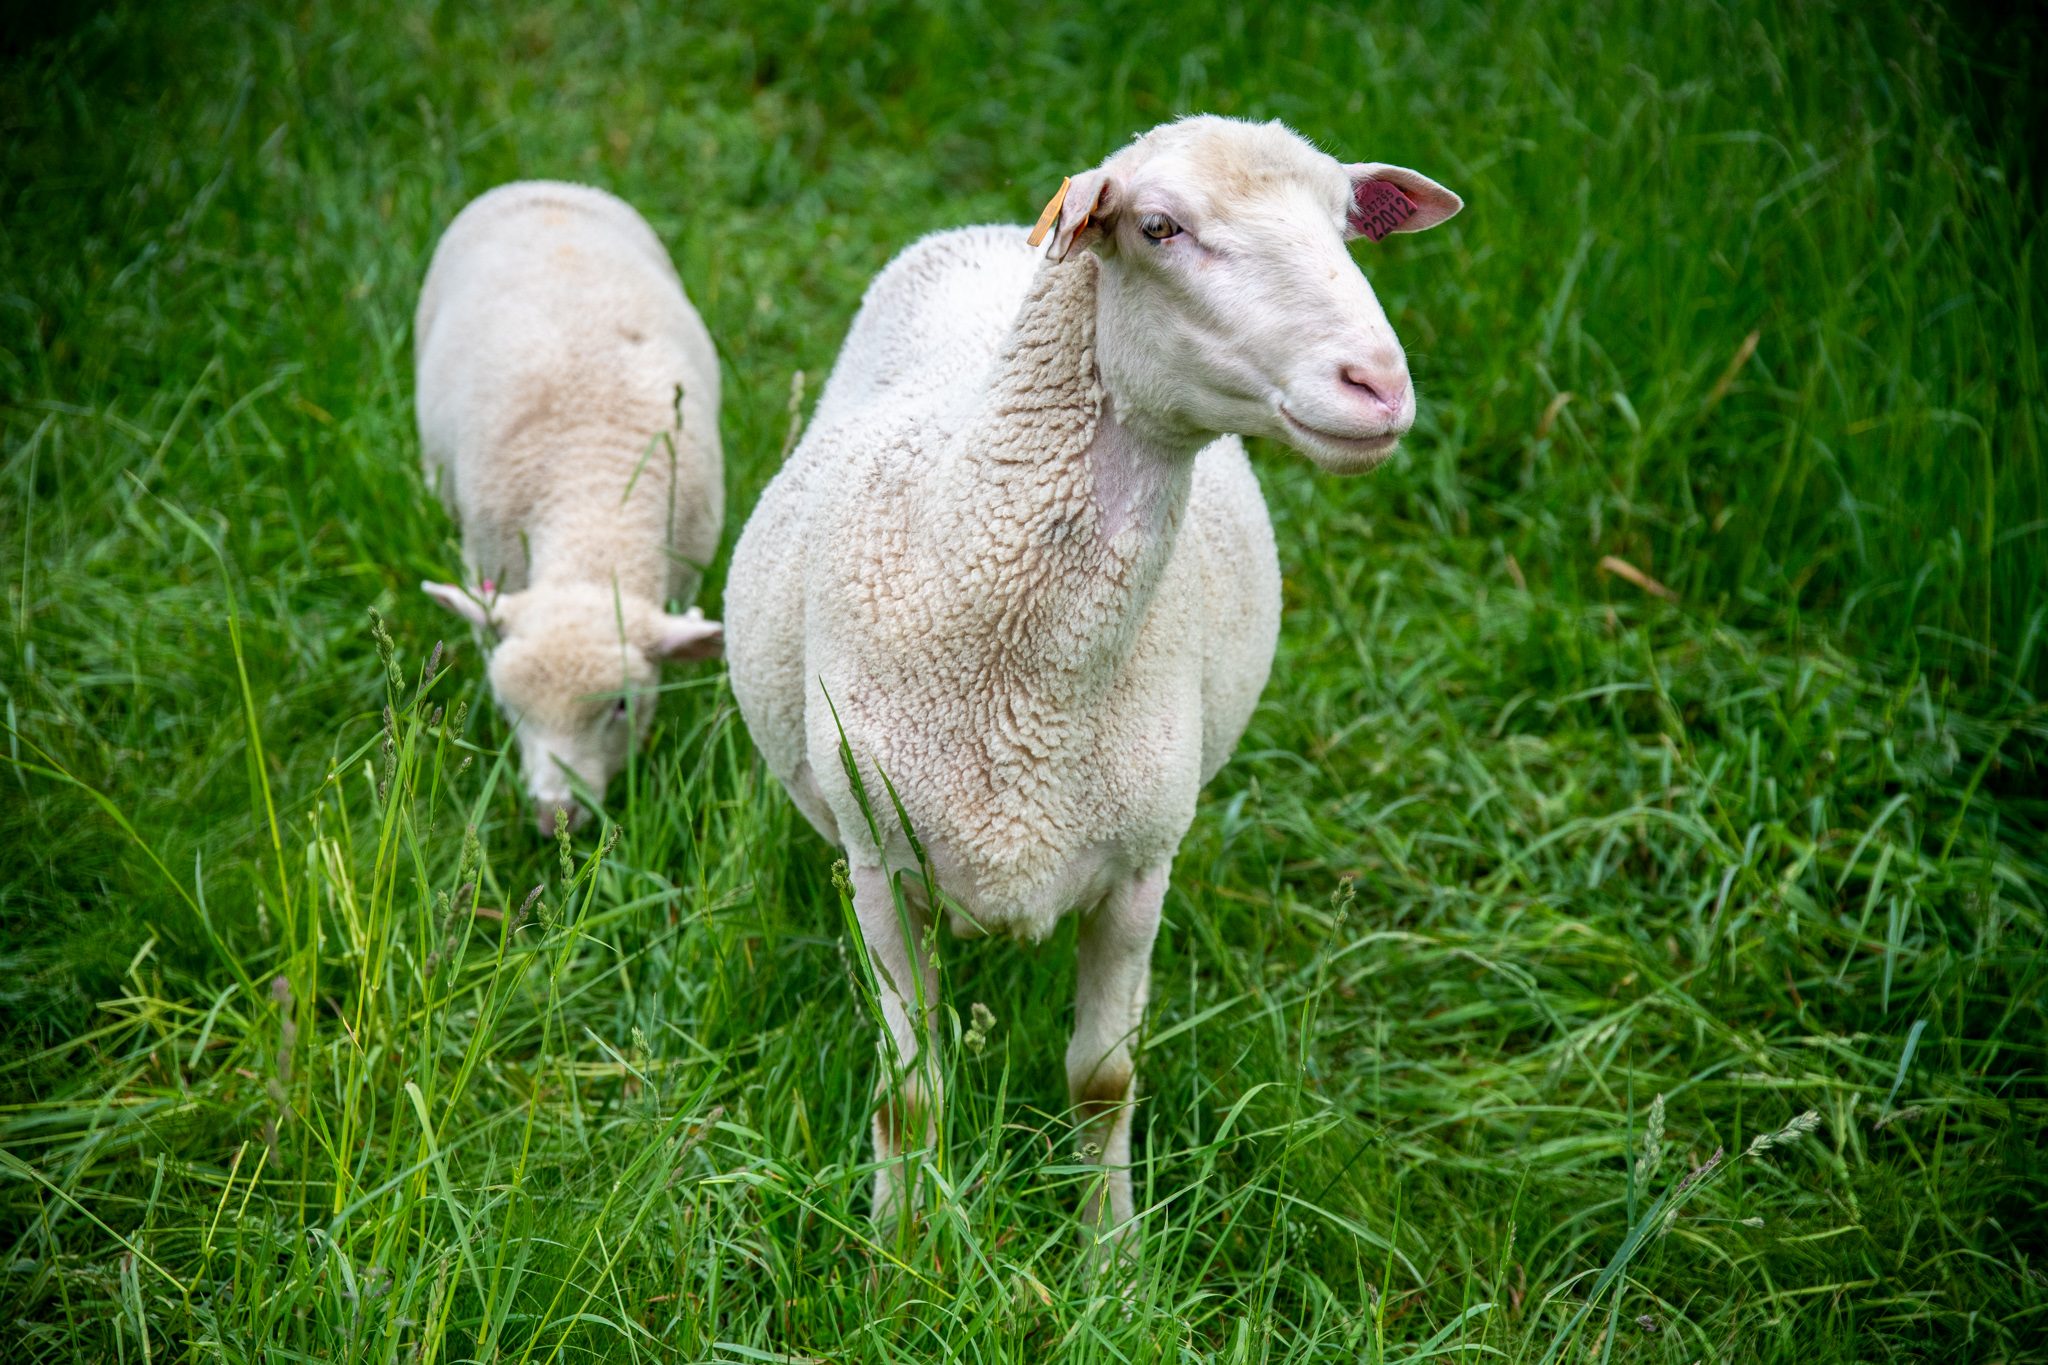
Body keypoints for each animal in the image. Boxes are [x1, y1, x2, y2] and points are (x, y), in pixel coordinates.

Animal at [723, 116, 1461, 1248]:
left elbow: (1101, 1083)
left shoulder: (1138, 868)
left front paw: (1109, 1253)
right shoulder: (883, 866)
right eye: (1158, 228)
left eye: (1346, 224)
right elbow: (911, 1089)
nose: (1376, 384)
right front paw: (899, 1249)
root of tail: (998, 231)